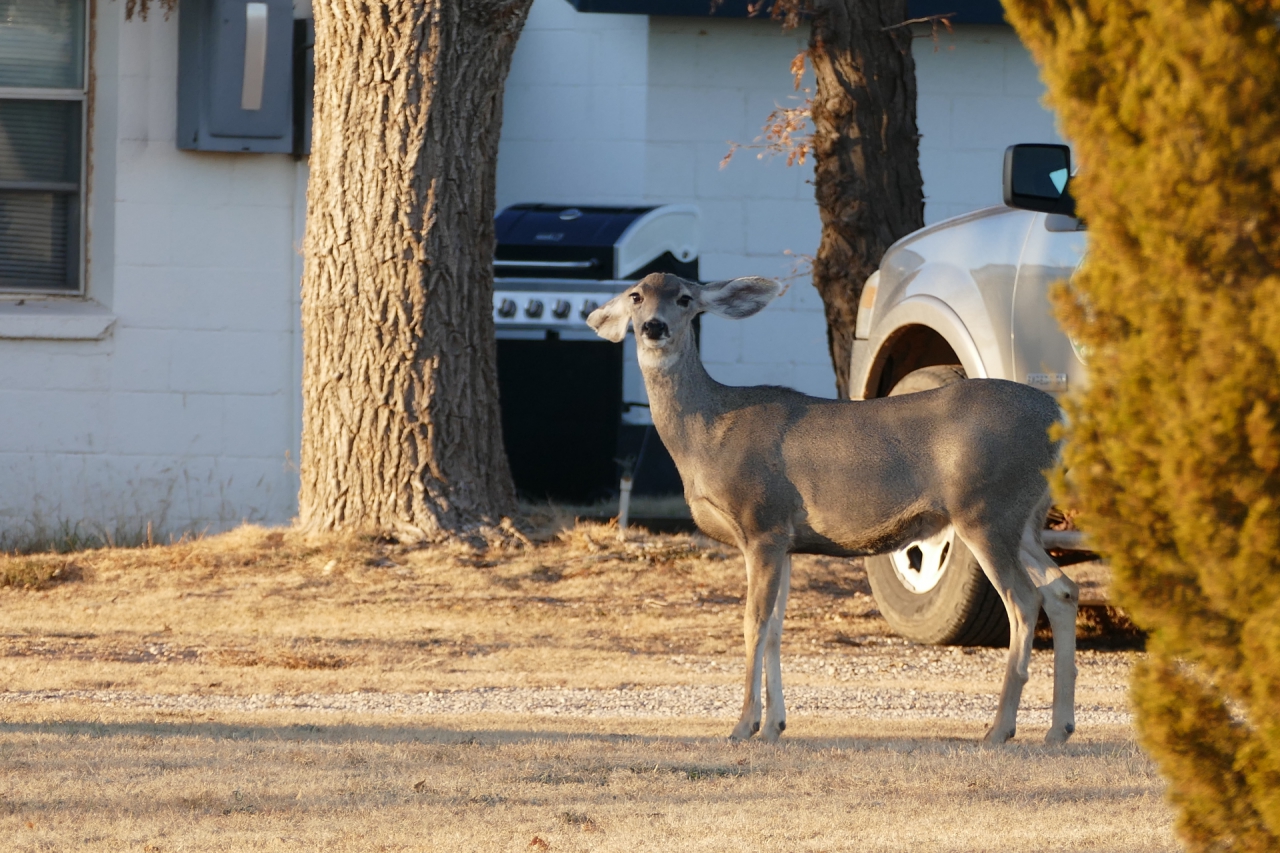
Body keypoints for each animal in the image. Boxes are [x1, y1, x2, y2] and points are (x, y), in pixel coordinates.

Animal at [588, 274, 1080, 742]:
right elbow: (776, 629)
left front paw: (744, 725)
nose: (654, 327)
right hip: (1023, 519)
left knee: (1024, 600)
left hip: (985, 510)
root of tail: (1056, 415)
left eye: (685, 298)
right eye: (636, 296)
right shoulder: (785, 540)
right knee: (1062, 589)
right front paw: (774, 725)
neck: (706, 435)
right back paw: (1058, 729)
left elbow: (753, 623)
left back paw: (1000, 729)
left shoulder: (761, 523)